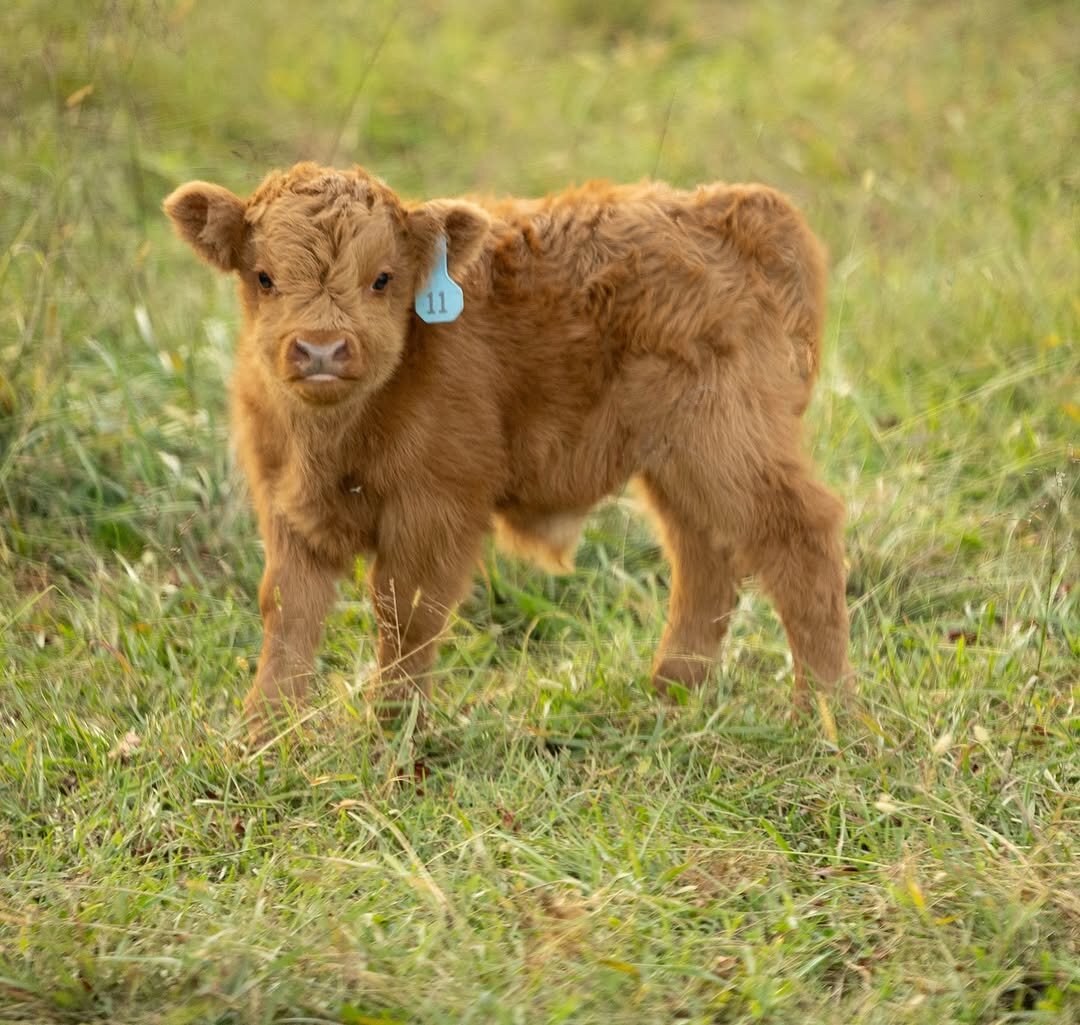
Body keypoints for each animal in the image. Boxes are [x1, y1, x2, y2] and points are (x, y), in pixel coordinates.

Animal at [163, 162, 850, 733]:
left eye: (382, 279)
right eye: (264, 277)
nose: (322, 350)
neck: (333, 441)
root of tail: (732, 205)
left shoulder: (436, 508)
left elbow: (406, 613)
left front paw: (393, 735)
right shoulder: (286, 508)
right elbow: (289, 612)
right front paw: (262, 735)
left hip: (730, 444)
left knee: (800, 539)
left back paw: (824, 716)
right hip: (679, 465)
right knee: (704, 562)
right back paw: (672, 696)